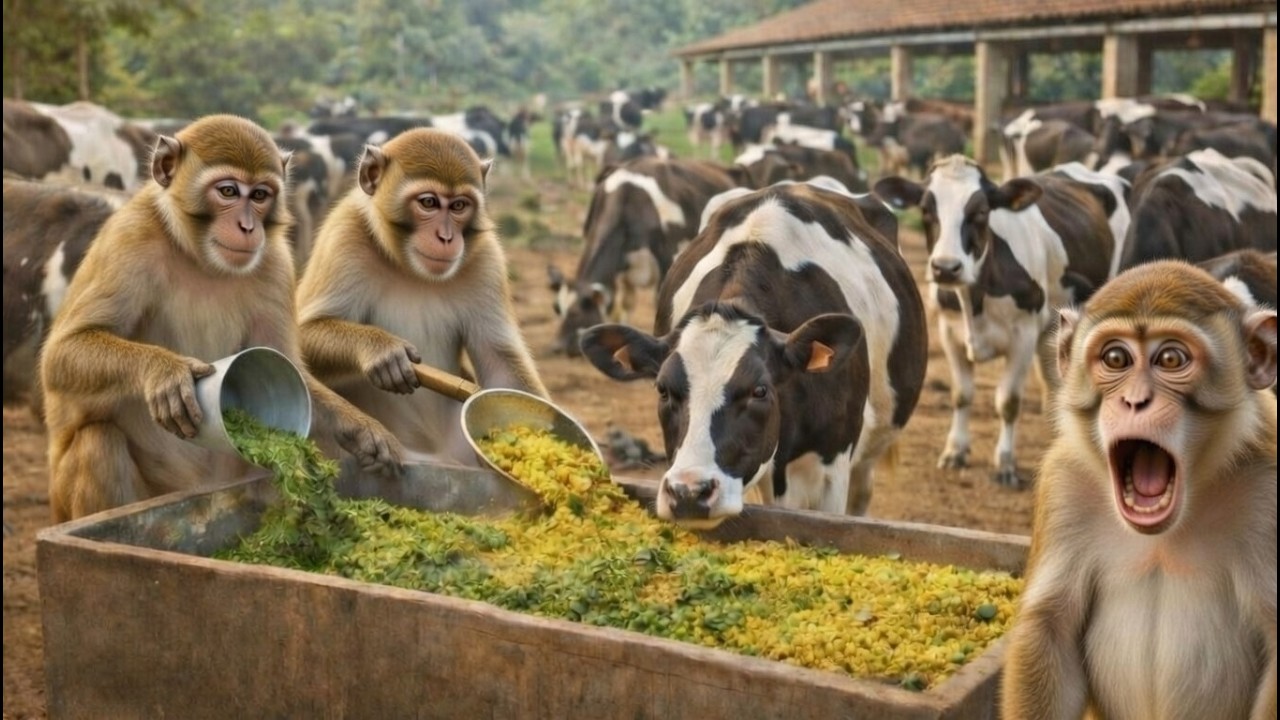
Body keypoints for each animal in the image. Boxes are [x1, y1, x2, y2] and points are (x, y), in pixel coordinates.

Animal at [40, 114, 404, 524]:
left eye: (260, 196)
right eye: (228, 191)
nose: (247, 227)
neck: (200, 258)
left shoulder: (276, 262)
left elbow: (290, 367)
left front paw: (362, 430)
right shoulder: (129, 239)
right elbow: (62, 353)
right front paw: (165, 371)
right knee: (98, 443)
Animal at [296, 128, 548, 467]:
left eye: (459, 206)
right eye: (428, 202)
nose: (446, 237)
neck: (411, 269)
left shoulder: (487, 260)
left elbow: (499, 365)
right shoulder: (343, 237)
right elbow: (298, 333)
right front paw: (382, 351)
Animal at [547, 157, 745, 357]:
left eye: (576, 313)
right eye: (556, 308)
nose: (557, 347)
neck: (628, 199)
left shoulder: (668, 259)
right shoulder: (622, 268)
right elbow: (625, 303)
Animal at [874, 155, 1116, 487]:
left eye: (980, 211)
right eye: (926, 209)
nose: (945, 268)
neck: (975, 297)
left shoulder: (1023, 336)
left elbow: (1008, 402)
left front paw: (1005, 464)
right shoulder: (949, 332)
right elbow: (961, 395)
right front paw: (955, 451)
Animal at [1001, 259, 1277, 720]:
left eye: (1170, 358)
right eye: (1115, 358)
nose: (1134, 401)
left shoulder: (1269, 492)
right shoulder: (1065, 483)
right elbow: (1051, 628)